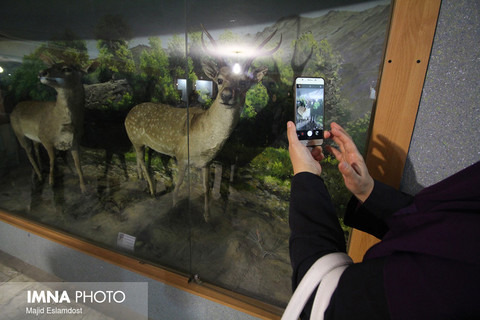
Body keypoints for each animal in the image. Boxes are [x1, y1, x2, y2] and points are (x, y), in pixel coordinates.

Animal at [9, 61, 95, 194]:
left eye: (66, 69)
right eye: (52, 65)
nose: (41, 72)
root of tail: (14, 108)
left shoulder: (75, 141)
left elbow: (78, 163)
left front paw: (84, 188)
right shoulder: (45, 137)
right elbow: (53, 159)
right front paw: (51, 182)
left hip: (34, 137)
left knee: (36, 149)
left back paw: (41, 170)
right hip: (18, 132)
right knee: (28, 153)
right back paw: (39, 176)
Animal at [124, 25, 282, 221]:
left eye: (244, 82)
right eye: (219, 80)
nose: (226, 95)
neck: (203, 140)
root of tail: (128, 114)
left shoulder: (207, 163)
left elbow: (207, 188)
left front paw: (207, 216)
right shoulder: (181, 155)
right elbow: (179, 185)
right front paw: (174, 208)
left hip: (141, 142)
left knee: (141, 159)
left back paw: (141, 180)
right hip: (136, 138)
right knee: (143, 161)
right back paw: (152, 191)